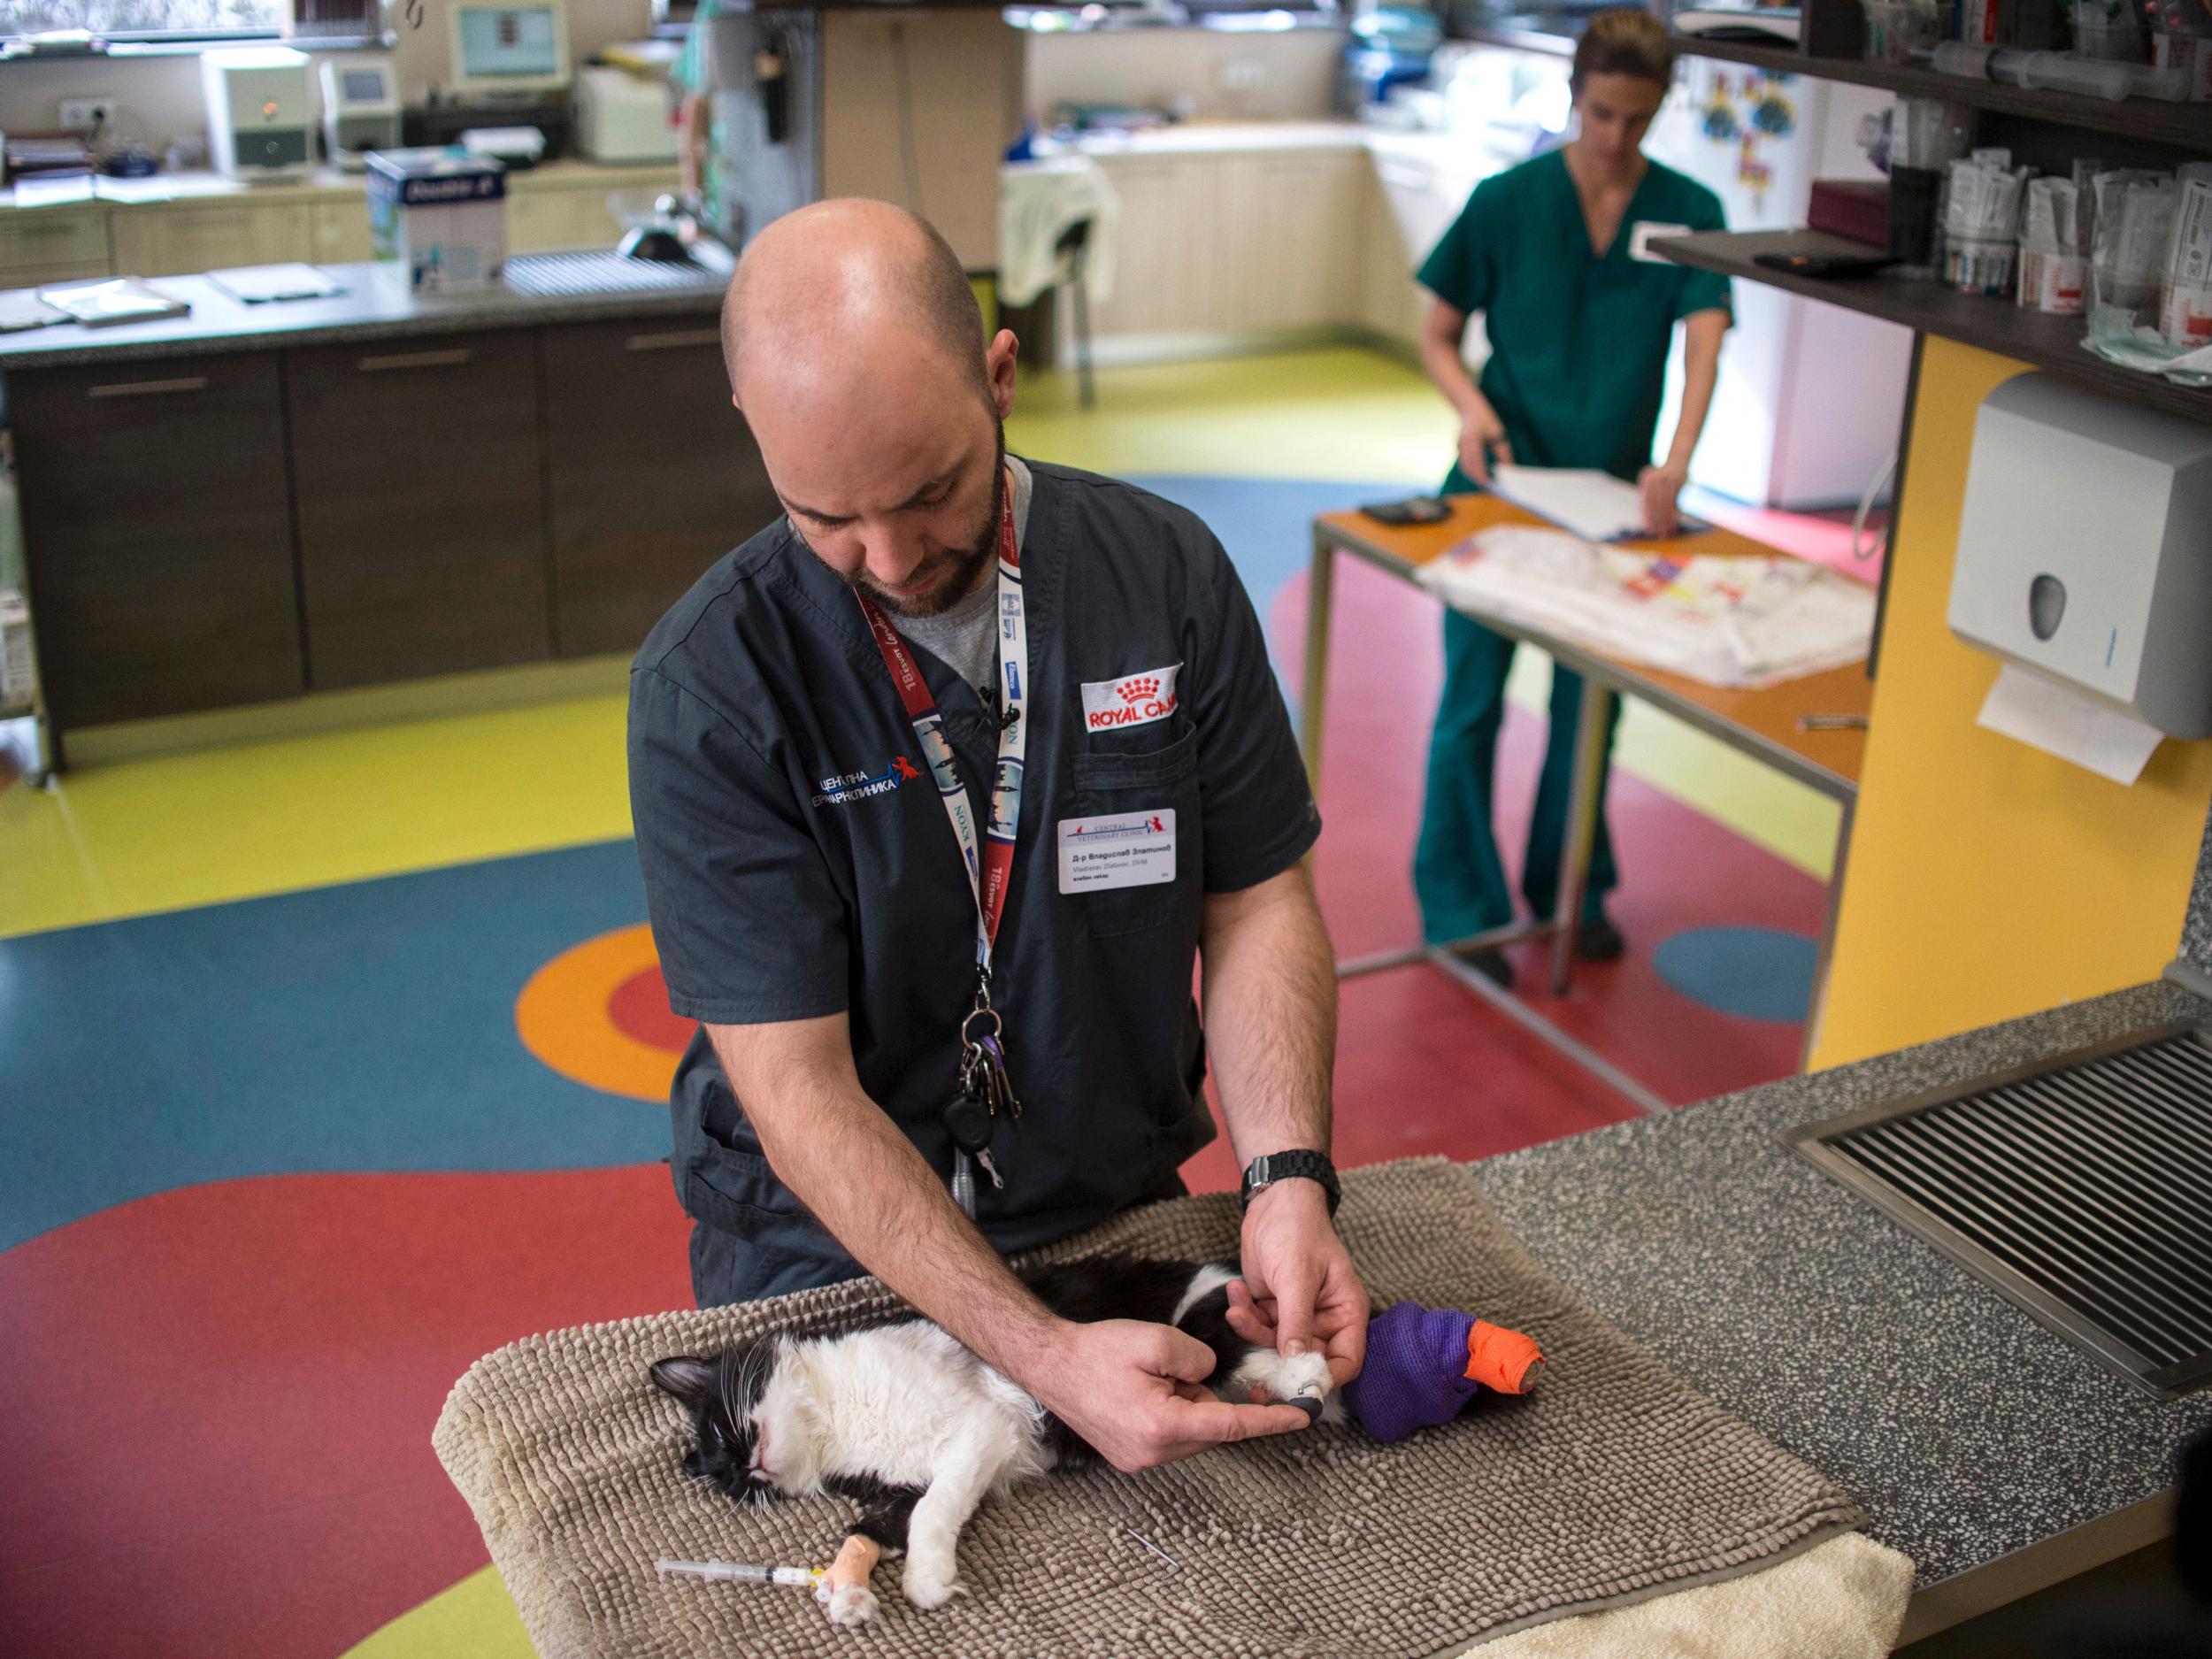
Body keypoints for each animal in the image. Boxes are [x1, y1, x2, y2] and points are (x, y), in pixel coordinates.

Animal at [646, 1256, 1336, 1628]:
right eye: (734, 1486)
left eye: (721, 1428)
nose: (744, 1468)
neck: (835, 1422)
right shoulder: (895, 1486)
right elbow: (867, 1531)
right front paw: (848, 1592)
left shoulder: (981, 1427)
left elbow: (933, 1512)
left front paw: (926, 1579)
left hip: (1191, 1334)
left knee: (1253, 1354)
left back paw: (1306, 1379)